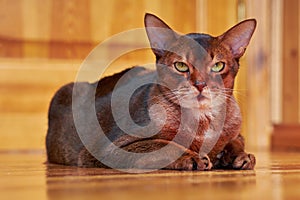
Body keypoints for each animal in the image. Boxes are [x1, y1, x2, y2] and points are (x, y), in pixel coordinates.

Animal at [45, 13, 256, 171]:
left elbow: (236, 142)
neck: (202, 121)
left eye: (218, 66)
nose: (200, 84)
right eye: (180, 66)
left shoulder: (236, 133)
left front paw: (241, 156)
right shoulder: (111, 149)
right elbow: (163, 145)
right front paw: (194, 157)